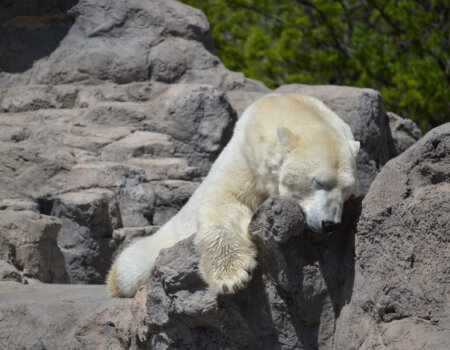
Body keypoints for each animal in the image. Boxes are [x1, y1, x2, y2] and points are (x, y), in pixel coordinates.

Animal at [105, 91, 358, 296]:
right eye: (318, 181)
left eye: (347, 190)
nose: (329, 224)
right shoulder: (246, 159)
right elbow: (226, 201)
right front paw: (232, 276)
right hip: (160, 242)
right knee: (131, 265)